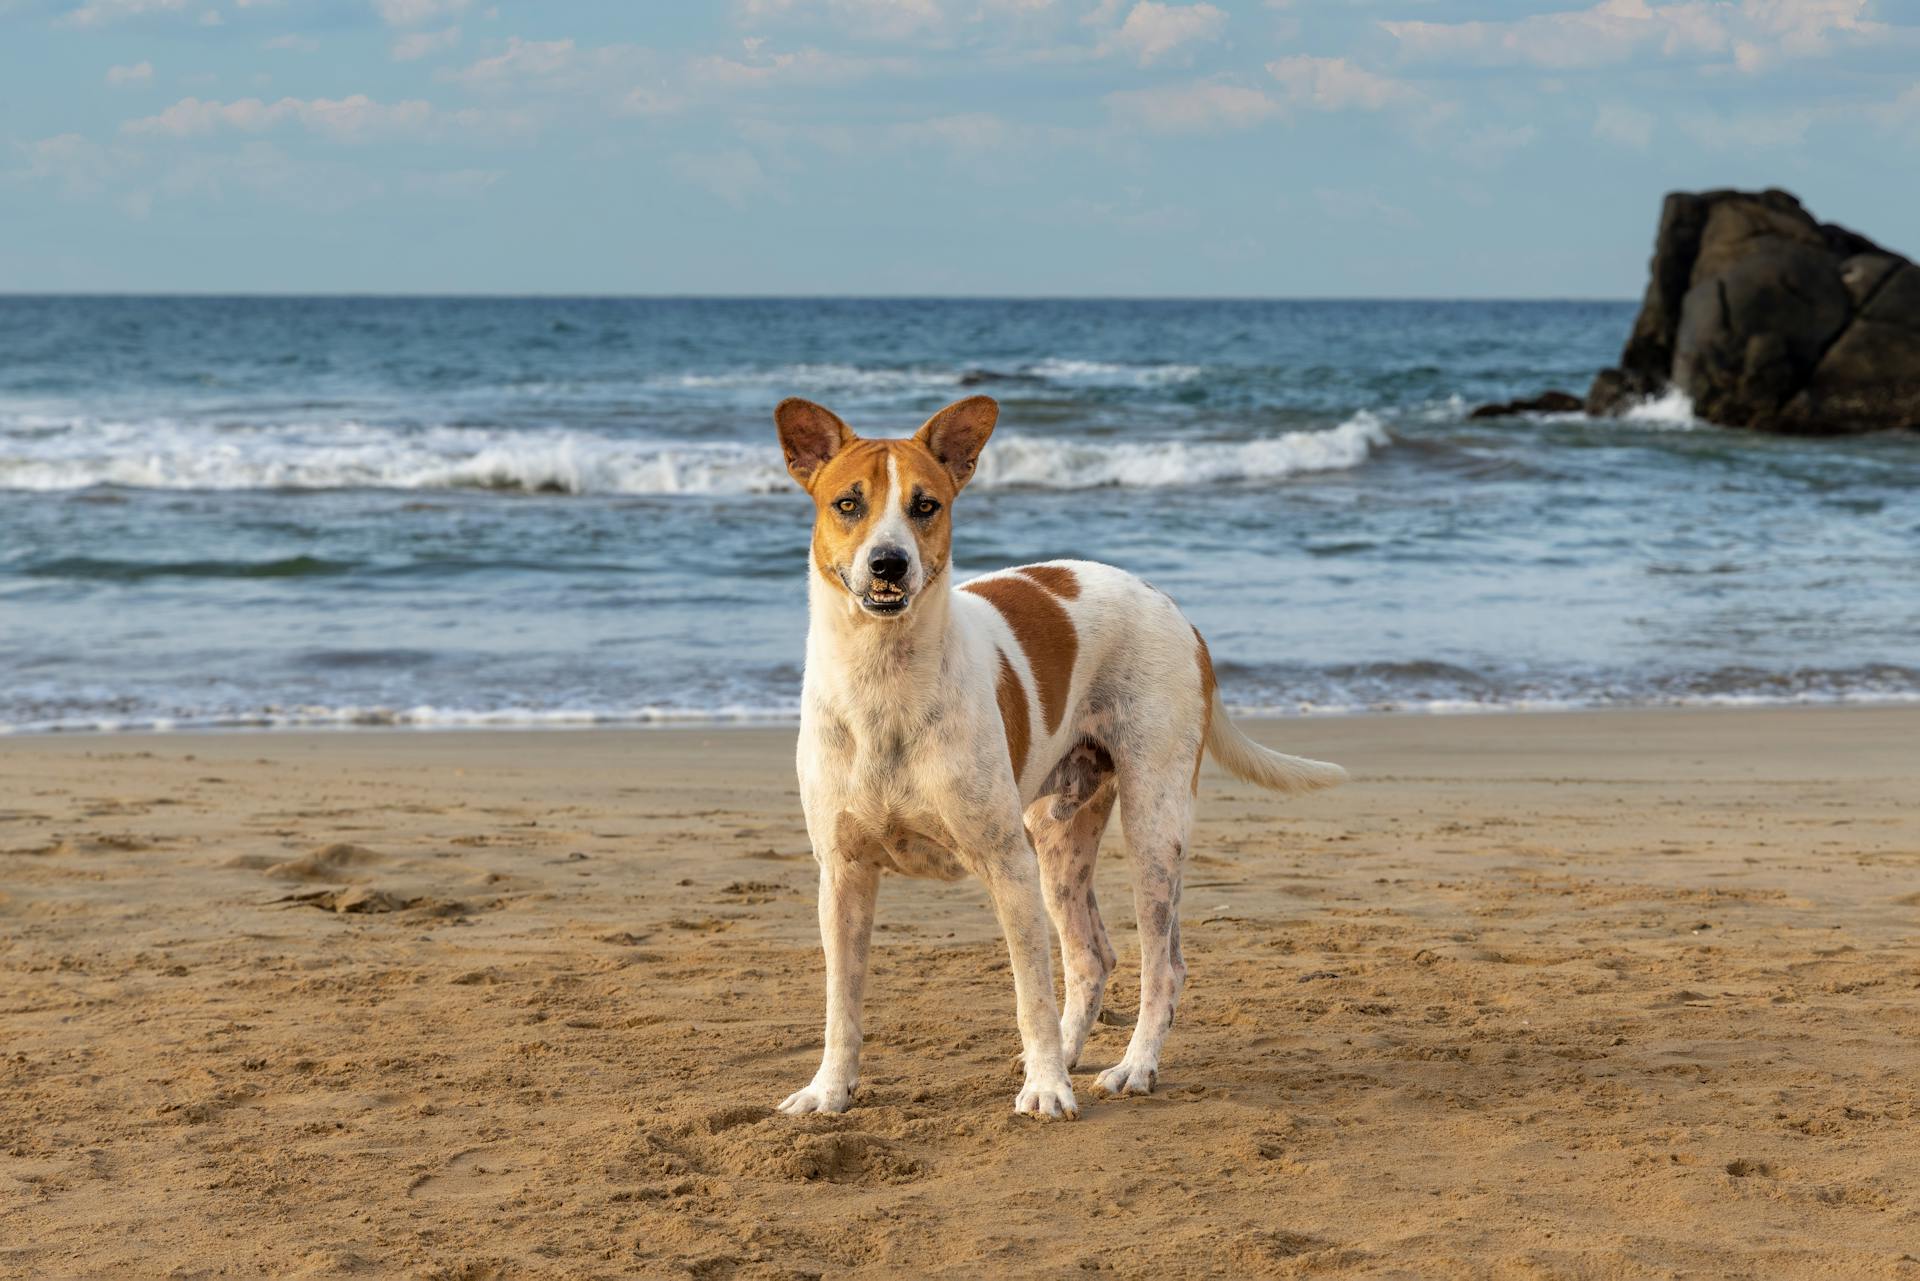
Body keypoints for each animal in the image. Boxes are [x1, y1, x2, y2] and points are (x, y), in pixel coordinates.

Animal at [771, 395, 1344, 1113]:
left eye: (926, 505)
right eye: (848, 503)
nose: (888, 562)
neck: (885, 680)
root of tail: (1175, 611)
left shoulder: (1005, 865)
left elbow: (1032, 995)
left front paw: (1045, 1089)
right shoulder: (843, 874)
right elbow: (841, 1001)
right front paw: (828, 1090)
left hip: (1152, 826)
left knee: (1163, 965)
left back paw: (1132, 1067)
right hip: (1059, 836)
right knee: (1092, 956)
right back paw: (1073, 1055)